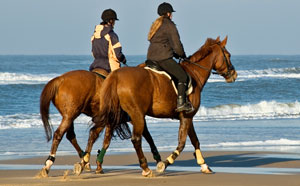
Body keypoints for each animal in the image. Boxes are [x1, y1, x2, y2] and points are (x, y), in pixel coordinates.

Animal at [85, 36, 238, 177]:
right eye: (228, 55)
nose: (234, 74)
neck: (194, 73)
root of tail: (116, 76)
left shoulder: (188, 117)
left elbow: (195, 141)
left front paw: (204, 165)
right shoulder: (187, 117)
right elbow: (182, 143)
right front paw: (164, 163)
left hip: (117, 114)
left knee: (99, 133)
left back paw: (88, 163)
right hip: (136, 115)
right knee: (135, 139)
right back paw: (145, 168)